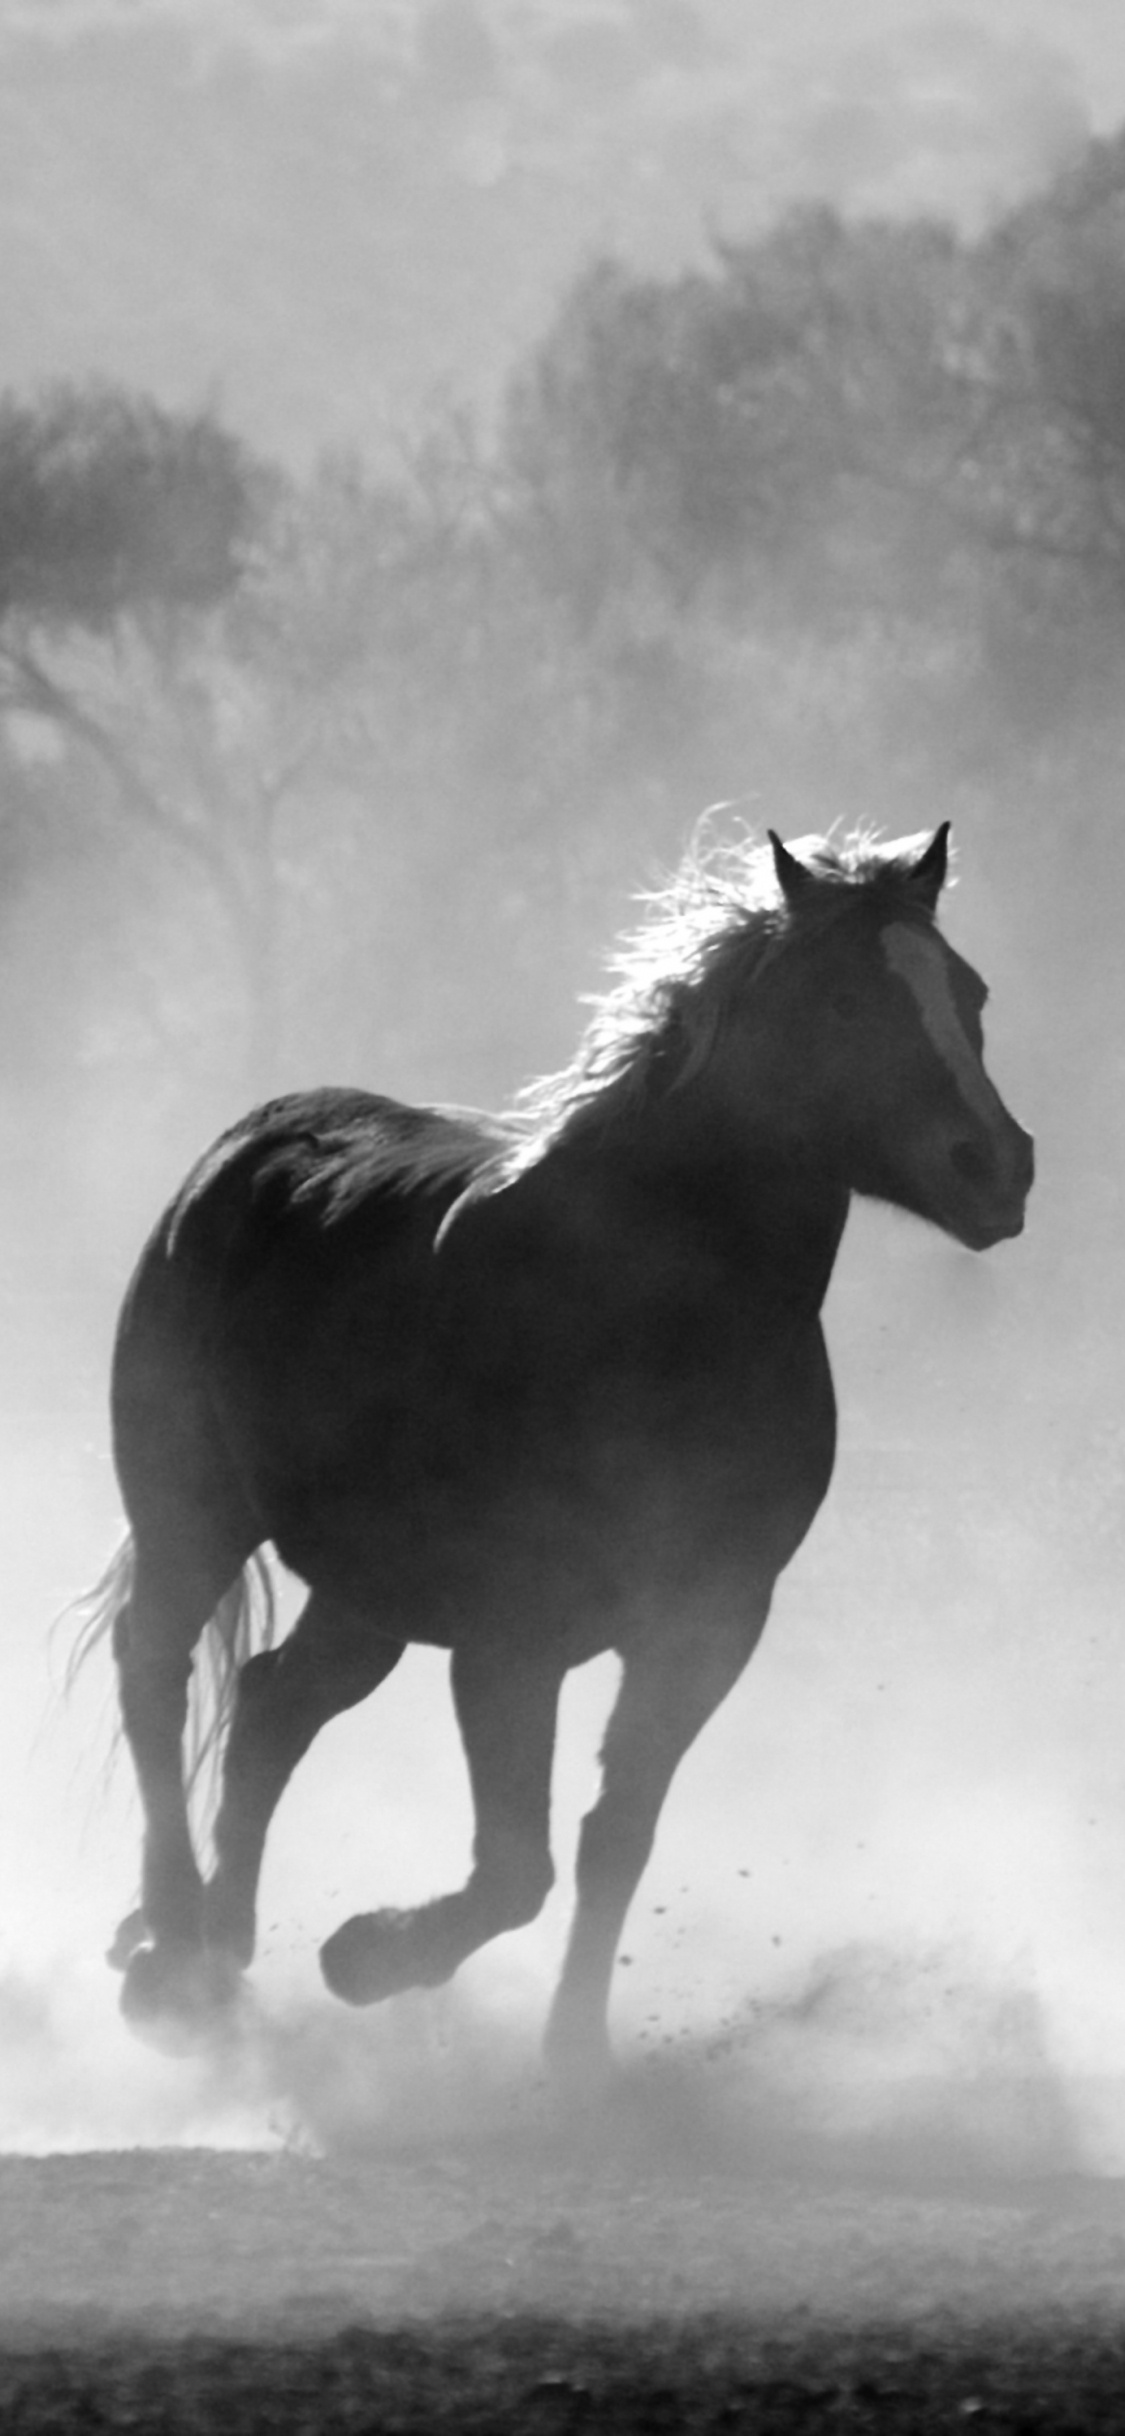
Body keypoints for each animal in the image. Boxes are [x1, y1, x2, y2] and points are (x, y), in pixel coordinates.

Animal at [73, 821, 1032, 2084]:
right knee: (156, 1673)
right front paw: (367, 1957)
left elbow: (613, 1838)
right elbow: (516, 1867)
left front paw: (574, 2058)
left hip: (366, 1591)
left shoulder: (707, 1625)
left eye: (968, 993)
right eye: (841, 1001)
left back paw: (223, 1955)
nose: (998, 1168)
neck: (652, 1316)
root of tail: (243, 1149)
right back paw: (175, 1954)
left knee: (272, 1705)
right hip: (194, 1514)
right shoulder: (511, 1637)